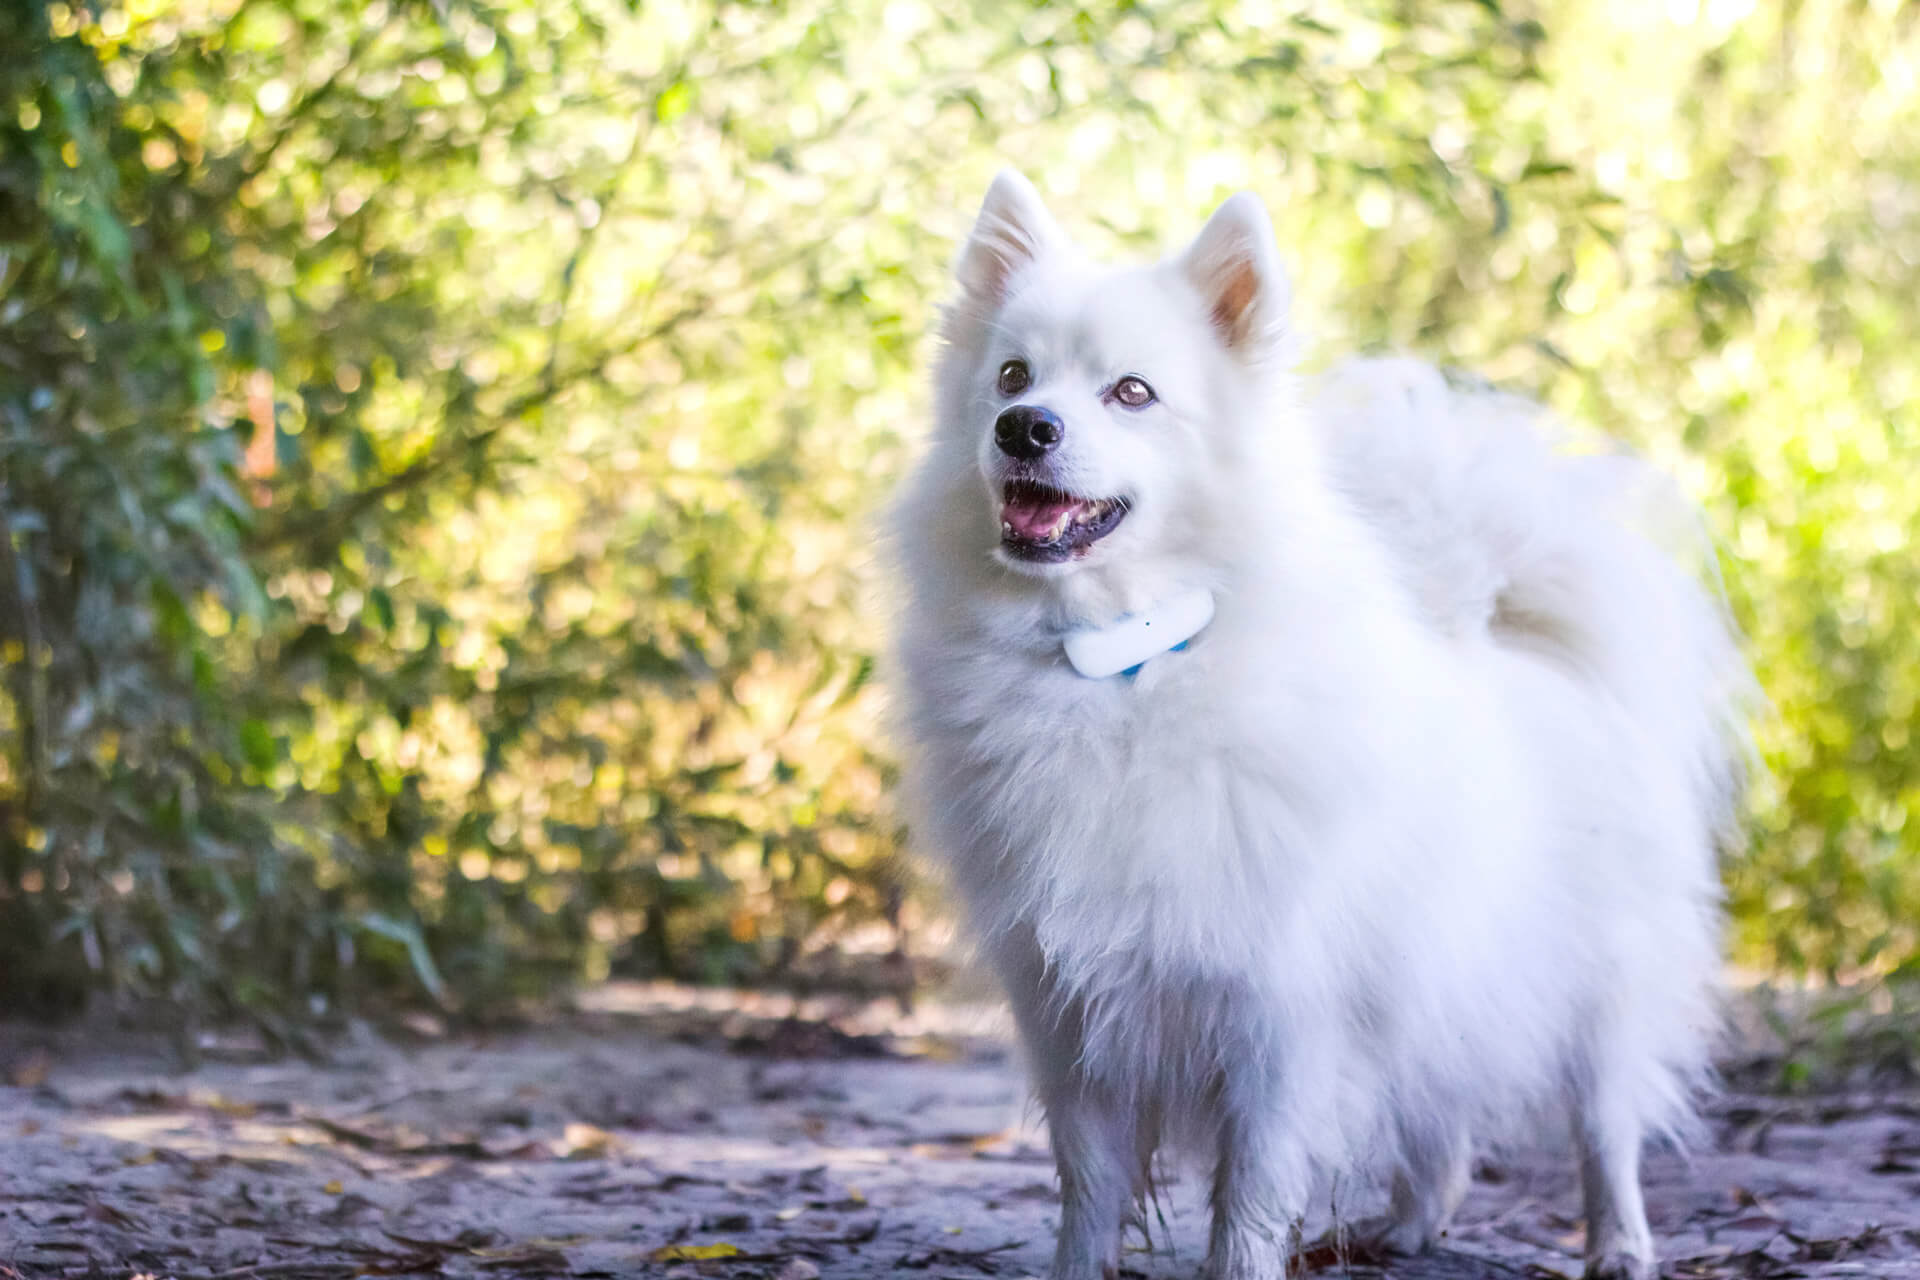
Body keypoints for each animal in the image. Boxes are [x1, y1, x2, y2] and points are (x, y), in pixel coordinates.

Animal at [890, 172, 1751, 1280]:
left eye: (1132, 393)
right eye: (1010, 376)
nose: (1024, 428)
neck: (1125, 660)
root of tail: (1511, 632)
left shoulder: (1281, 1020)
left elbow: (1251, 1196)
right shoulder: (1067, 1013)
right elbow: (1087, 1185)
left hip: (1594, 986)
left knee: (1605, 1124)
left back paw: (1618, 1243)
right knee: (1439, 1118)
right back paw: (1410, 1224)